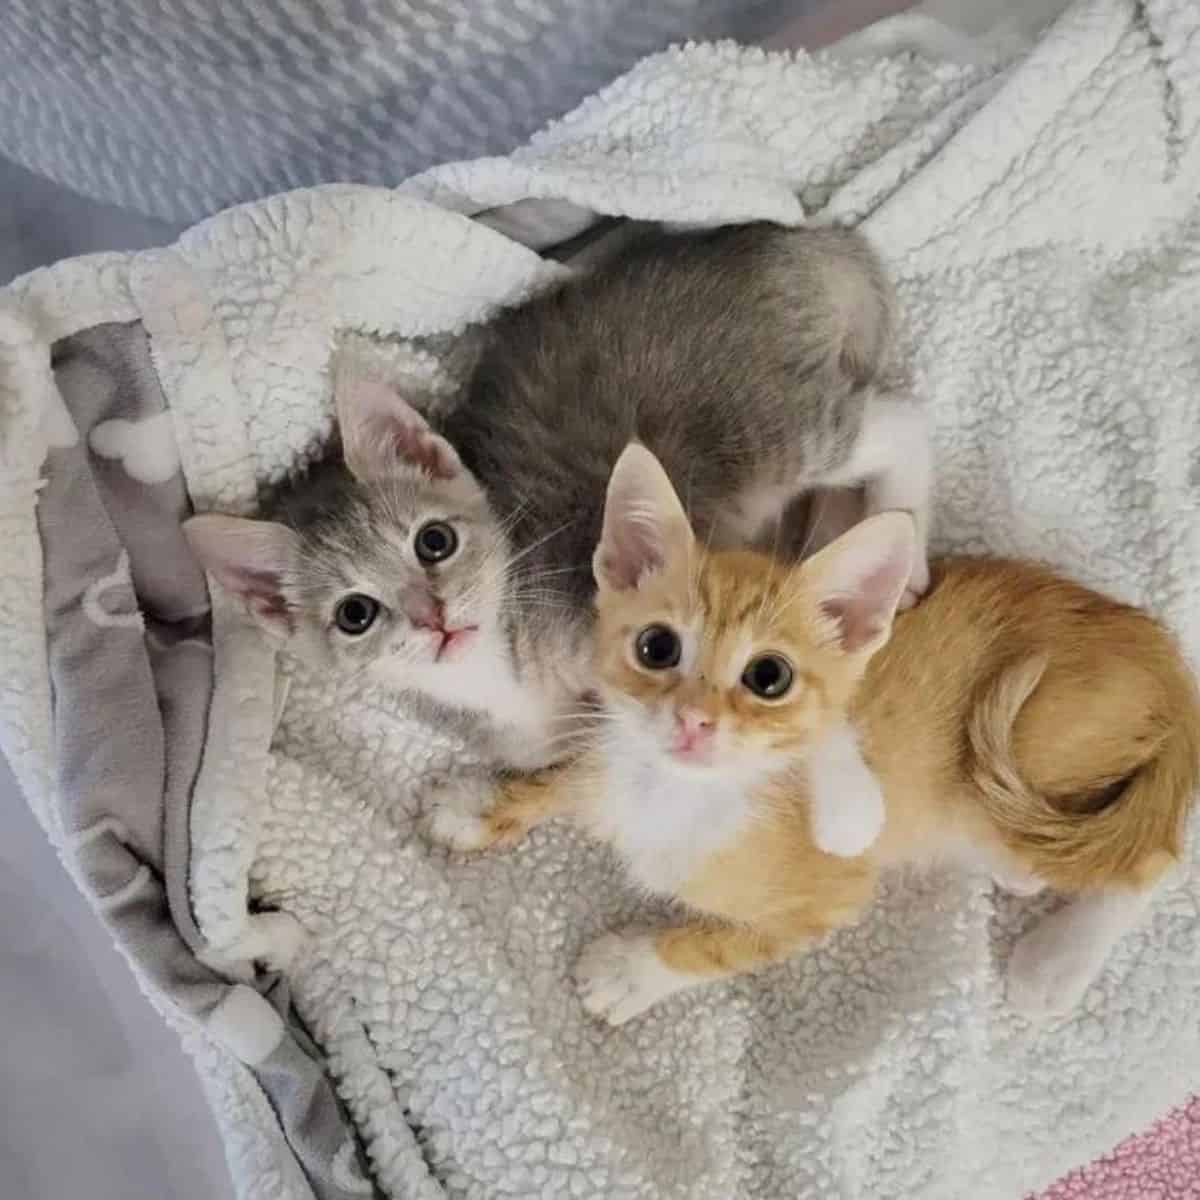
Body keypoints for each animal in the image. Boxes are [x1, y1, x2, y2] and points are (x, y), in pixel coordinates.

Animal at [182, 224, 926, 777]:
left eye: (434, 541)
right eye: (354, 614)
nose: (435, 619)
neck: (497, 672)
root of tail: (784, 239)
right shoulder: (531, 737)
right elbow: (559, 749)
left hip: (771, 434)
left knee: (901, 419)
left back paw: (909, 543)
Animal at [427, 446, 1195, 1027]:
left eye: (769, 677)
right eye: (656, 647)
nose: (695, 720)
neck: (673, 796)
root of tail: (1166, 655)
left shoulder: (829, 900)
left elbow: (719, 945)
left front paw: (629, 969)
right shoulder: (614, 753)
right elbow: (567, 778)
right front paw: (479, 803)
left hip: (1031, 751)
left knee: (1151, 859)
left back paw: (1056, 961)